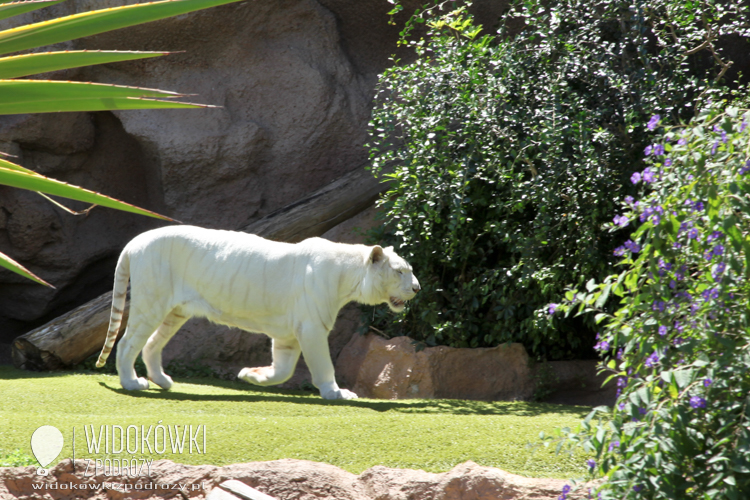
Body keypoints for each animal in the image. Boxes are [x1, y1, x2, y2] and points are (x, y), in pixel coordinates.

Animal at [94, 225, 420, 400]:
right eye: (400, 271)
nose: (417, 288)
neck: (349, 276)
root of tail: (135, 242)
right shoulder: (313, 327)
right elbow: (323, 366)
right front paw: (336, 394)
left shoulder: (290, 334)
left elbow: (283, 369)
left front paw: (251, 375)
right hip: (152, 302)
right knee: (127, 343)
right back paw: (132, 383)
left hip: (175, 311)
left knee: (151, 344)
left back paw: (163, 381)